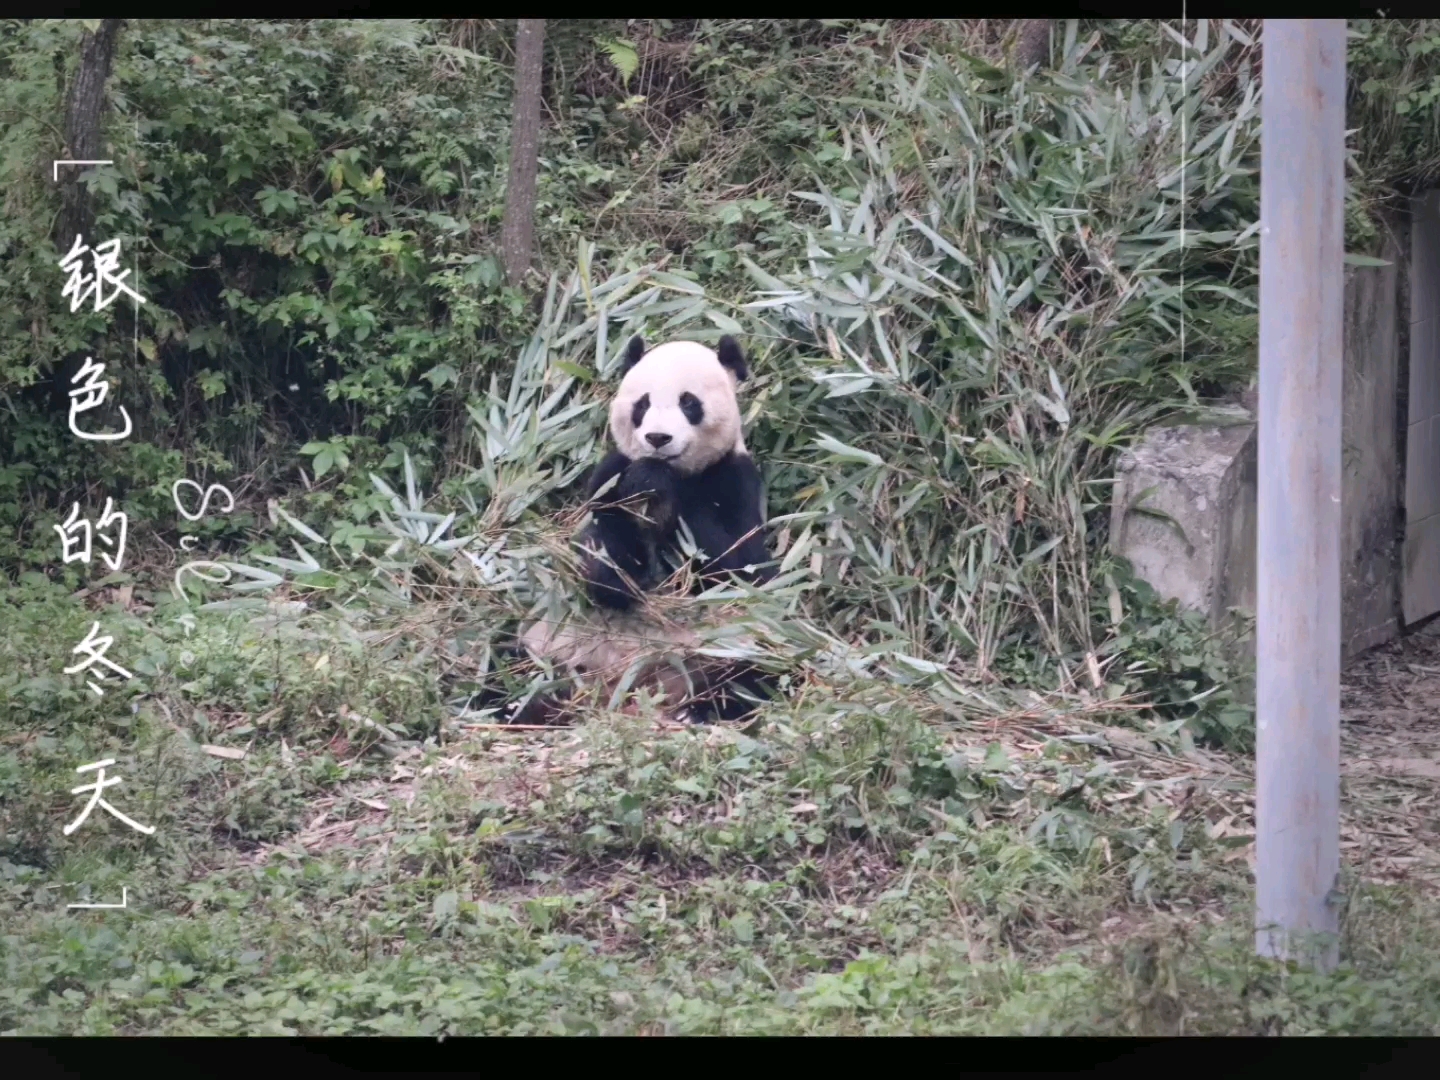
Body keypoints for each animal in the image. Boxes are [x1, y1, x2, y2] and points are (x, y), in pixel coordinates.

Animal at [506, 334, 777, 728]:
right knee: (514, 665)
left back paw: (702, 710)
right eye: (643, 403)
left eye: (688, 402)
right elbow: (605, 560)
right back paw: (510, 705)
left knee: (753, 672)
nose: (657, 438)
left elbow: (739, 566)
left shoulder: (734, 478)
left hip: (727, 642)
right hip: (555, 642)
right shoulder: (609, 480)